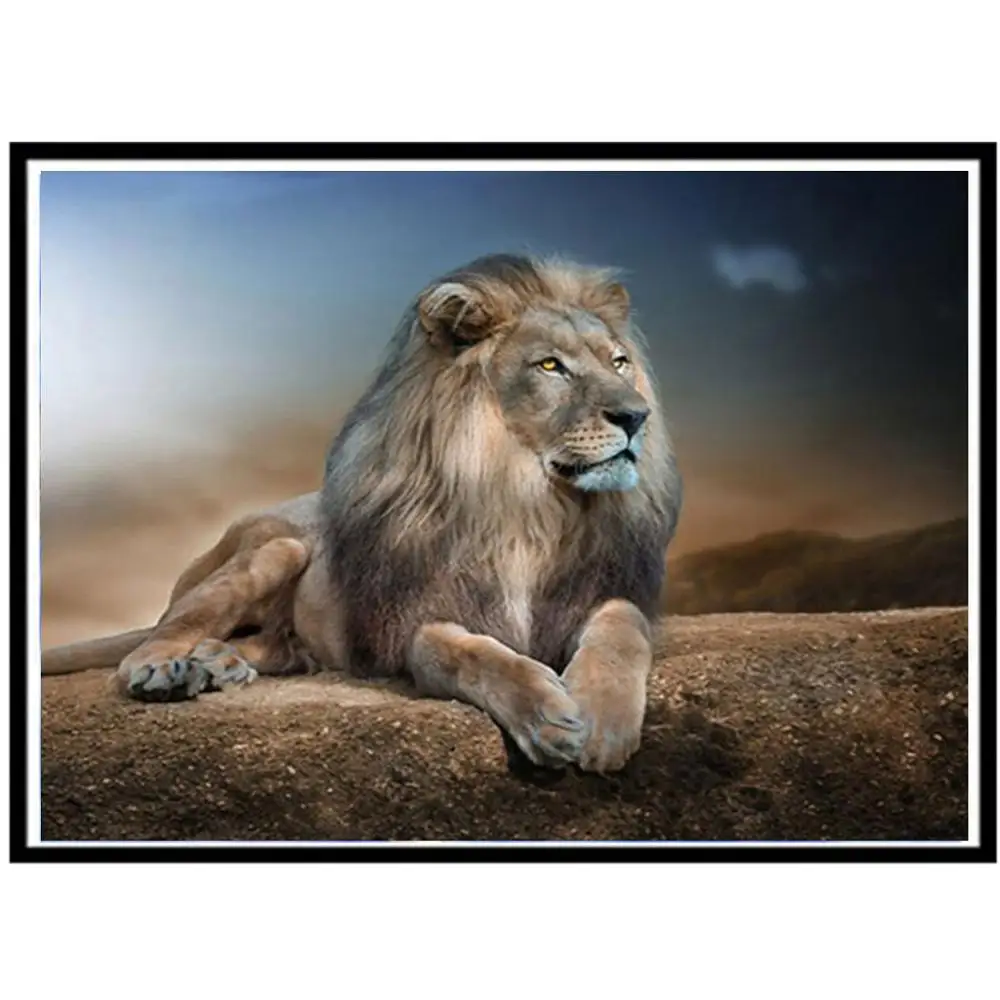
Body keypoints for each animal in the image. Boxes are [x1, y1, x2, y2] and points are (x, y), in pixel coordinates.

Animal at [41, 254, 682, 774]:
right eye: (550, 367)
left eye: (619, 362)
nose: (636, 416)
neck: (527, 505)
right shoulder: (414, 619)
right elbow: (465, 653)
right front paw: (546, 713)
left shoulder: (595, 590)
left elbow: (622, 626)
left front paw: (602, 722)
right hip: (278, 548)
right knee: (156, 637)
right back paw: (170, 670)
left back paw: (219, 664)